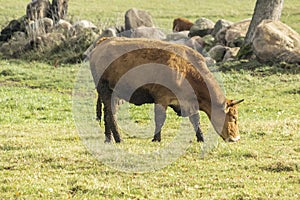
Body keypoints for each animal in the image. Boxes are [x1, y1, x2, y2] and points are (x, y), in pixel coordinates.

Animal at [89, 37, 244, 144]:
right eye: (233, 117)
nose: (236, 138)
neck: (187, 70)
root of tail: (104, 41)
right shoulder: (162, 98)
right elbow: (160, 119)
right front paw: (156, 138)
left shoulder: (188, 102)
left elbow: (195, 120)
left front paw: (201, 138)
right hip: (106, 91)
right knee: (110, 115)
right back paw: (118, 138)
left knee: (107, 114)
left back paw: (108, 139)